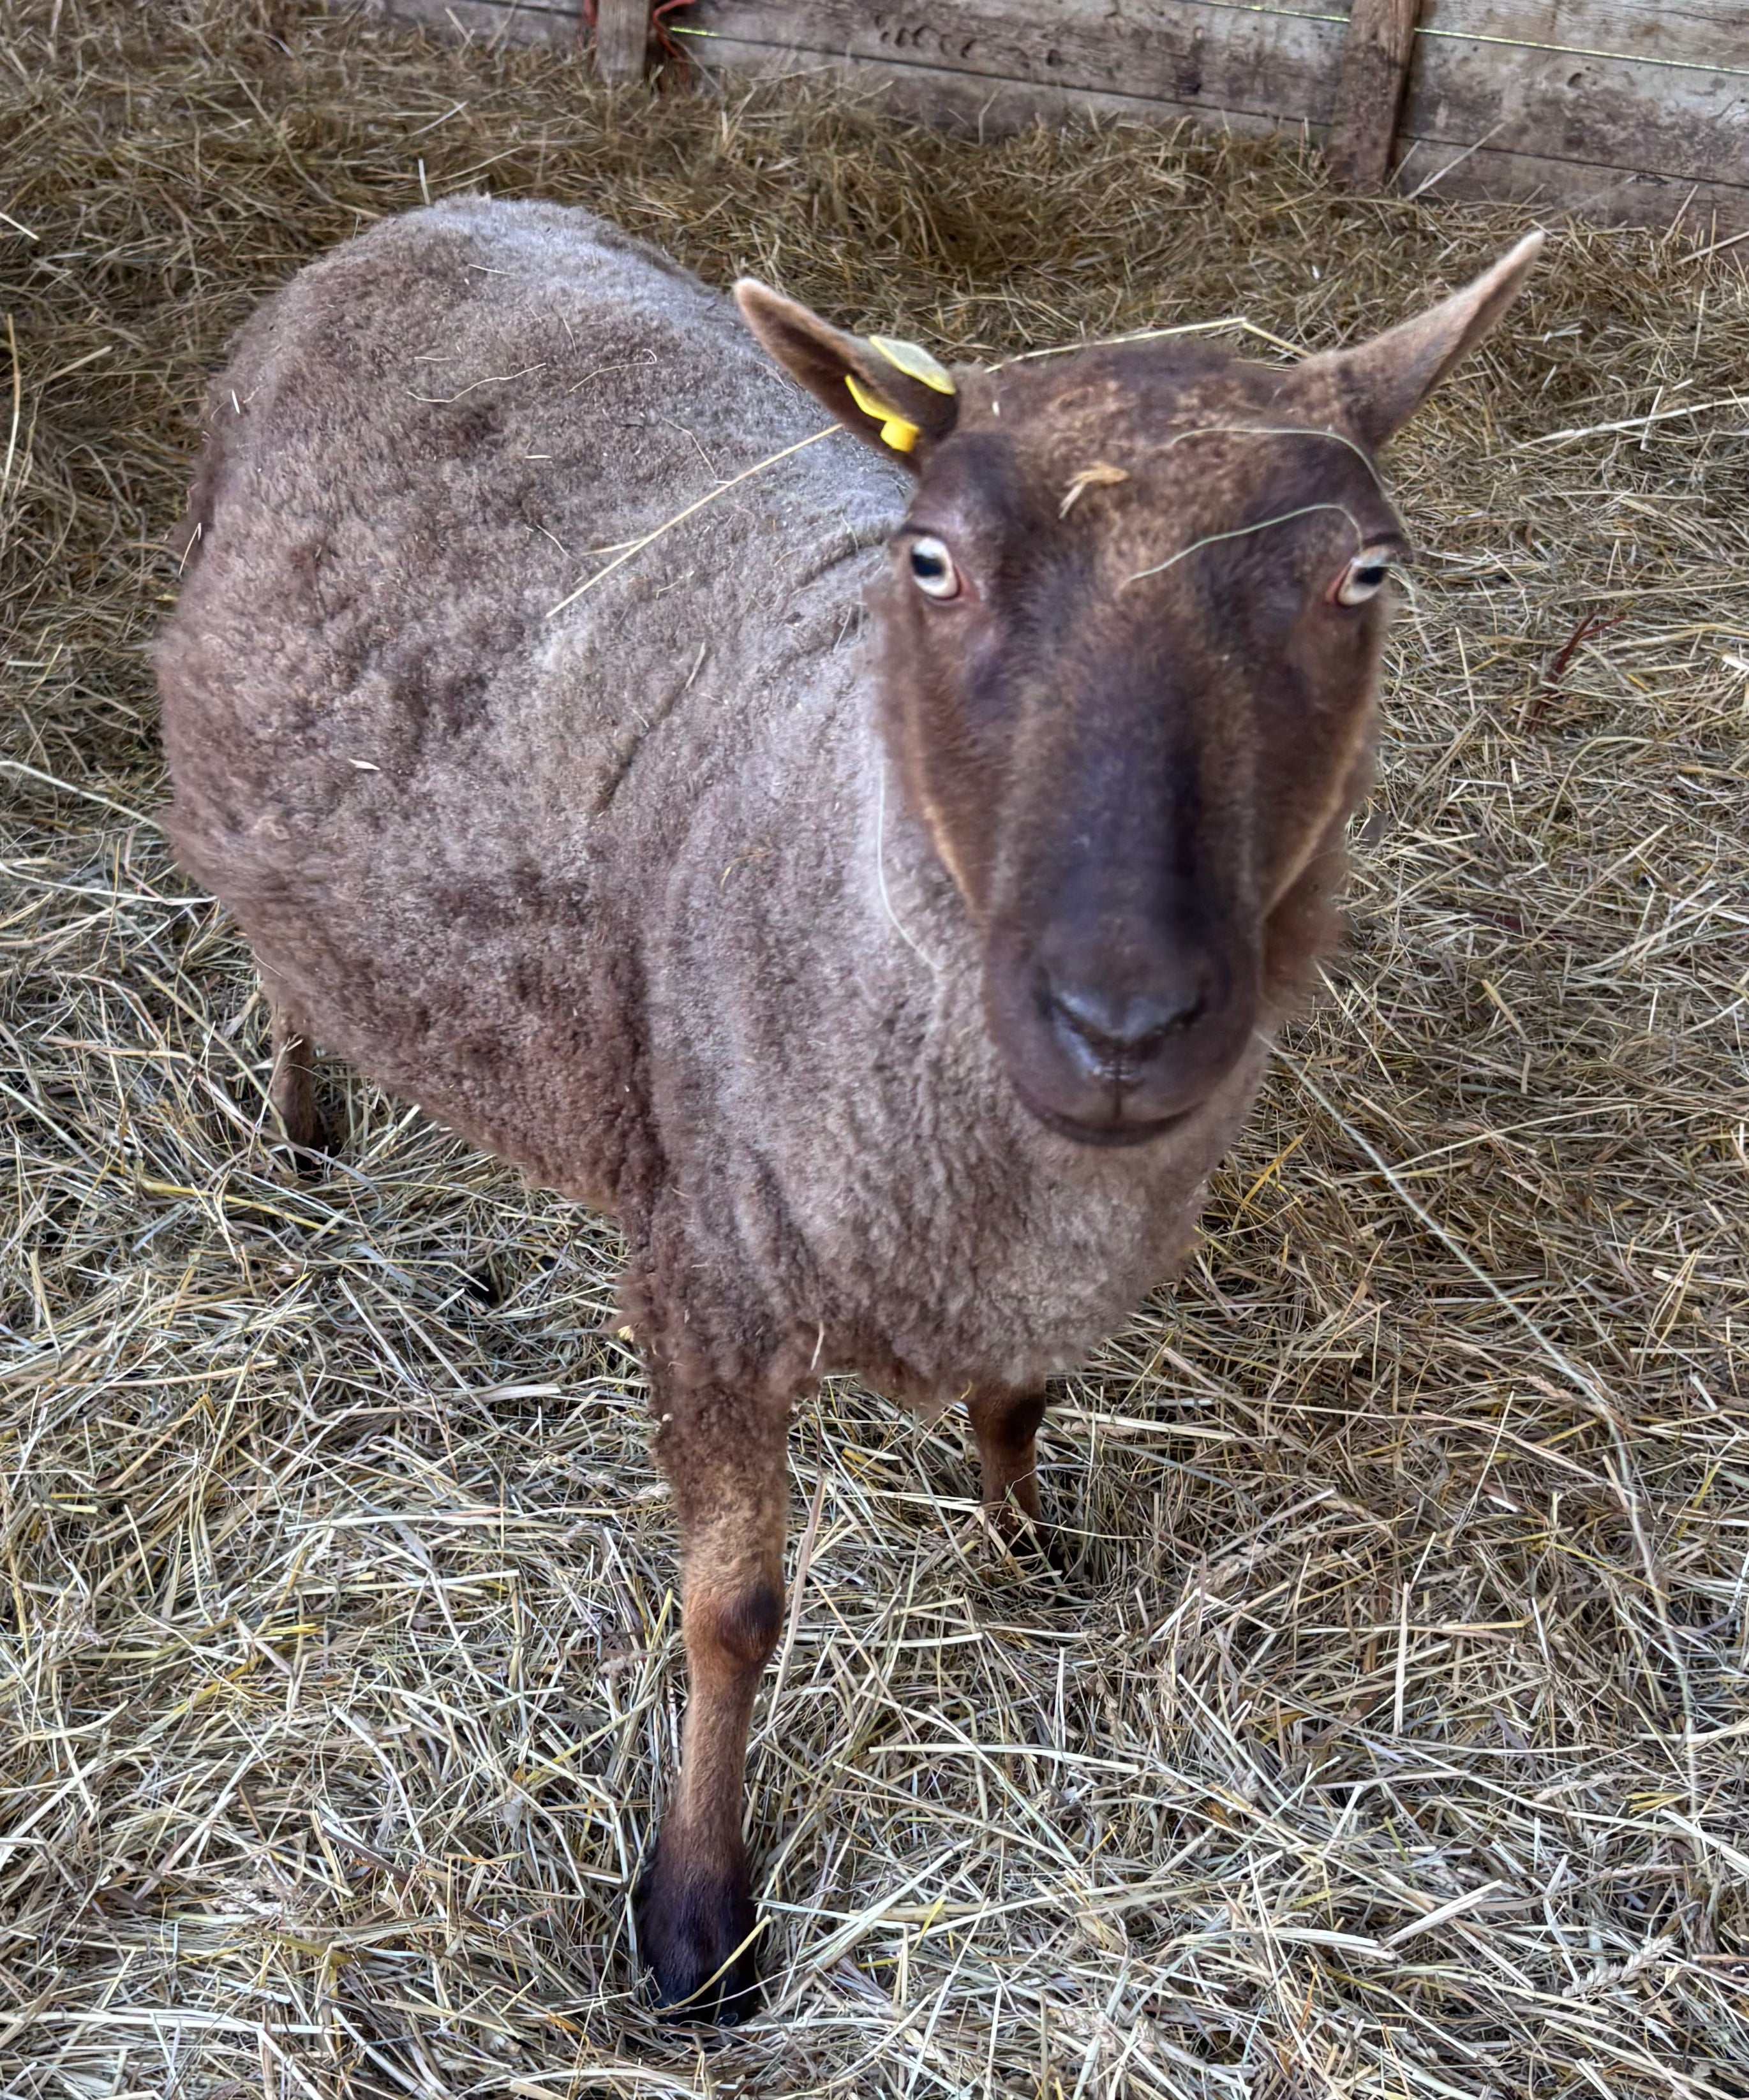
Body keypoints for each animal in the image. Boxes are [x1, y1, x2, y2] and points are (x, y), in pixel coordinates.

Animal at [157, 196, 1541, 2020]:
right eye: (929, 561)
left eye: (1362, 573)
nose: (1121, 1019)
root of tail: (443, 211)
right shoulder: (708, 1276)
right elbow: (732, 1610)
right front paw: (694, 1912)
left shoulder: (1025, 1265)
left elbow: (1017, 1408)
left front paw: (1026, 1553)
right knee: (282, 965)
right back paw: (300, 1126)